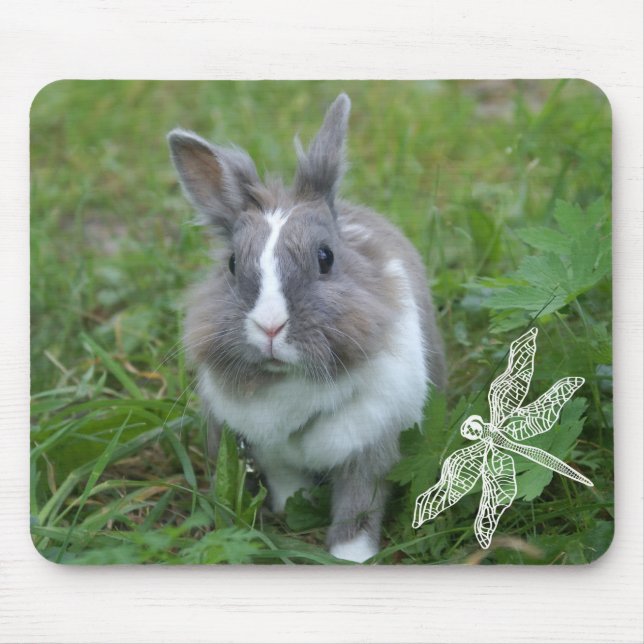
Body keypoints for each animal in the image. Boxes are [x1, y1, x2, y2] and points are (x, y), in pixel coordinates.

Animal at [167, 93, 445, 563]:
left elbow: (358, 506)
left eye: (325, 258)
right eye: (232, 264)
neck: (293, 384)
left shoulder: (371, 448)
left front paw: (351, 557)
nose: (270, 327)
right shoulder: (271, 454)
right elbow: (288, 485)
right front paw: (292, 509)